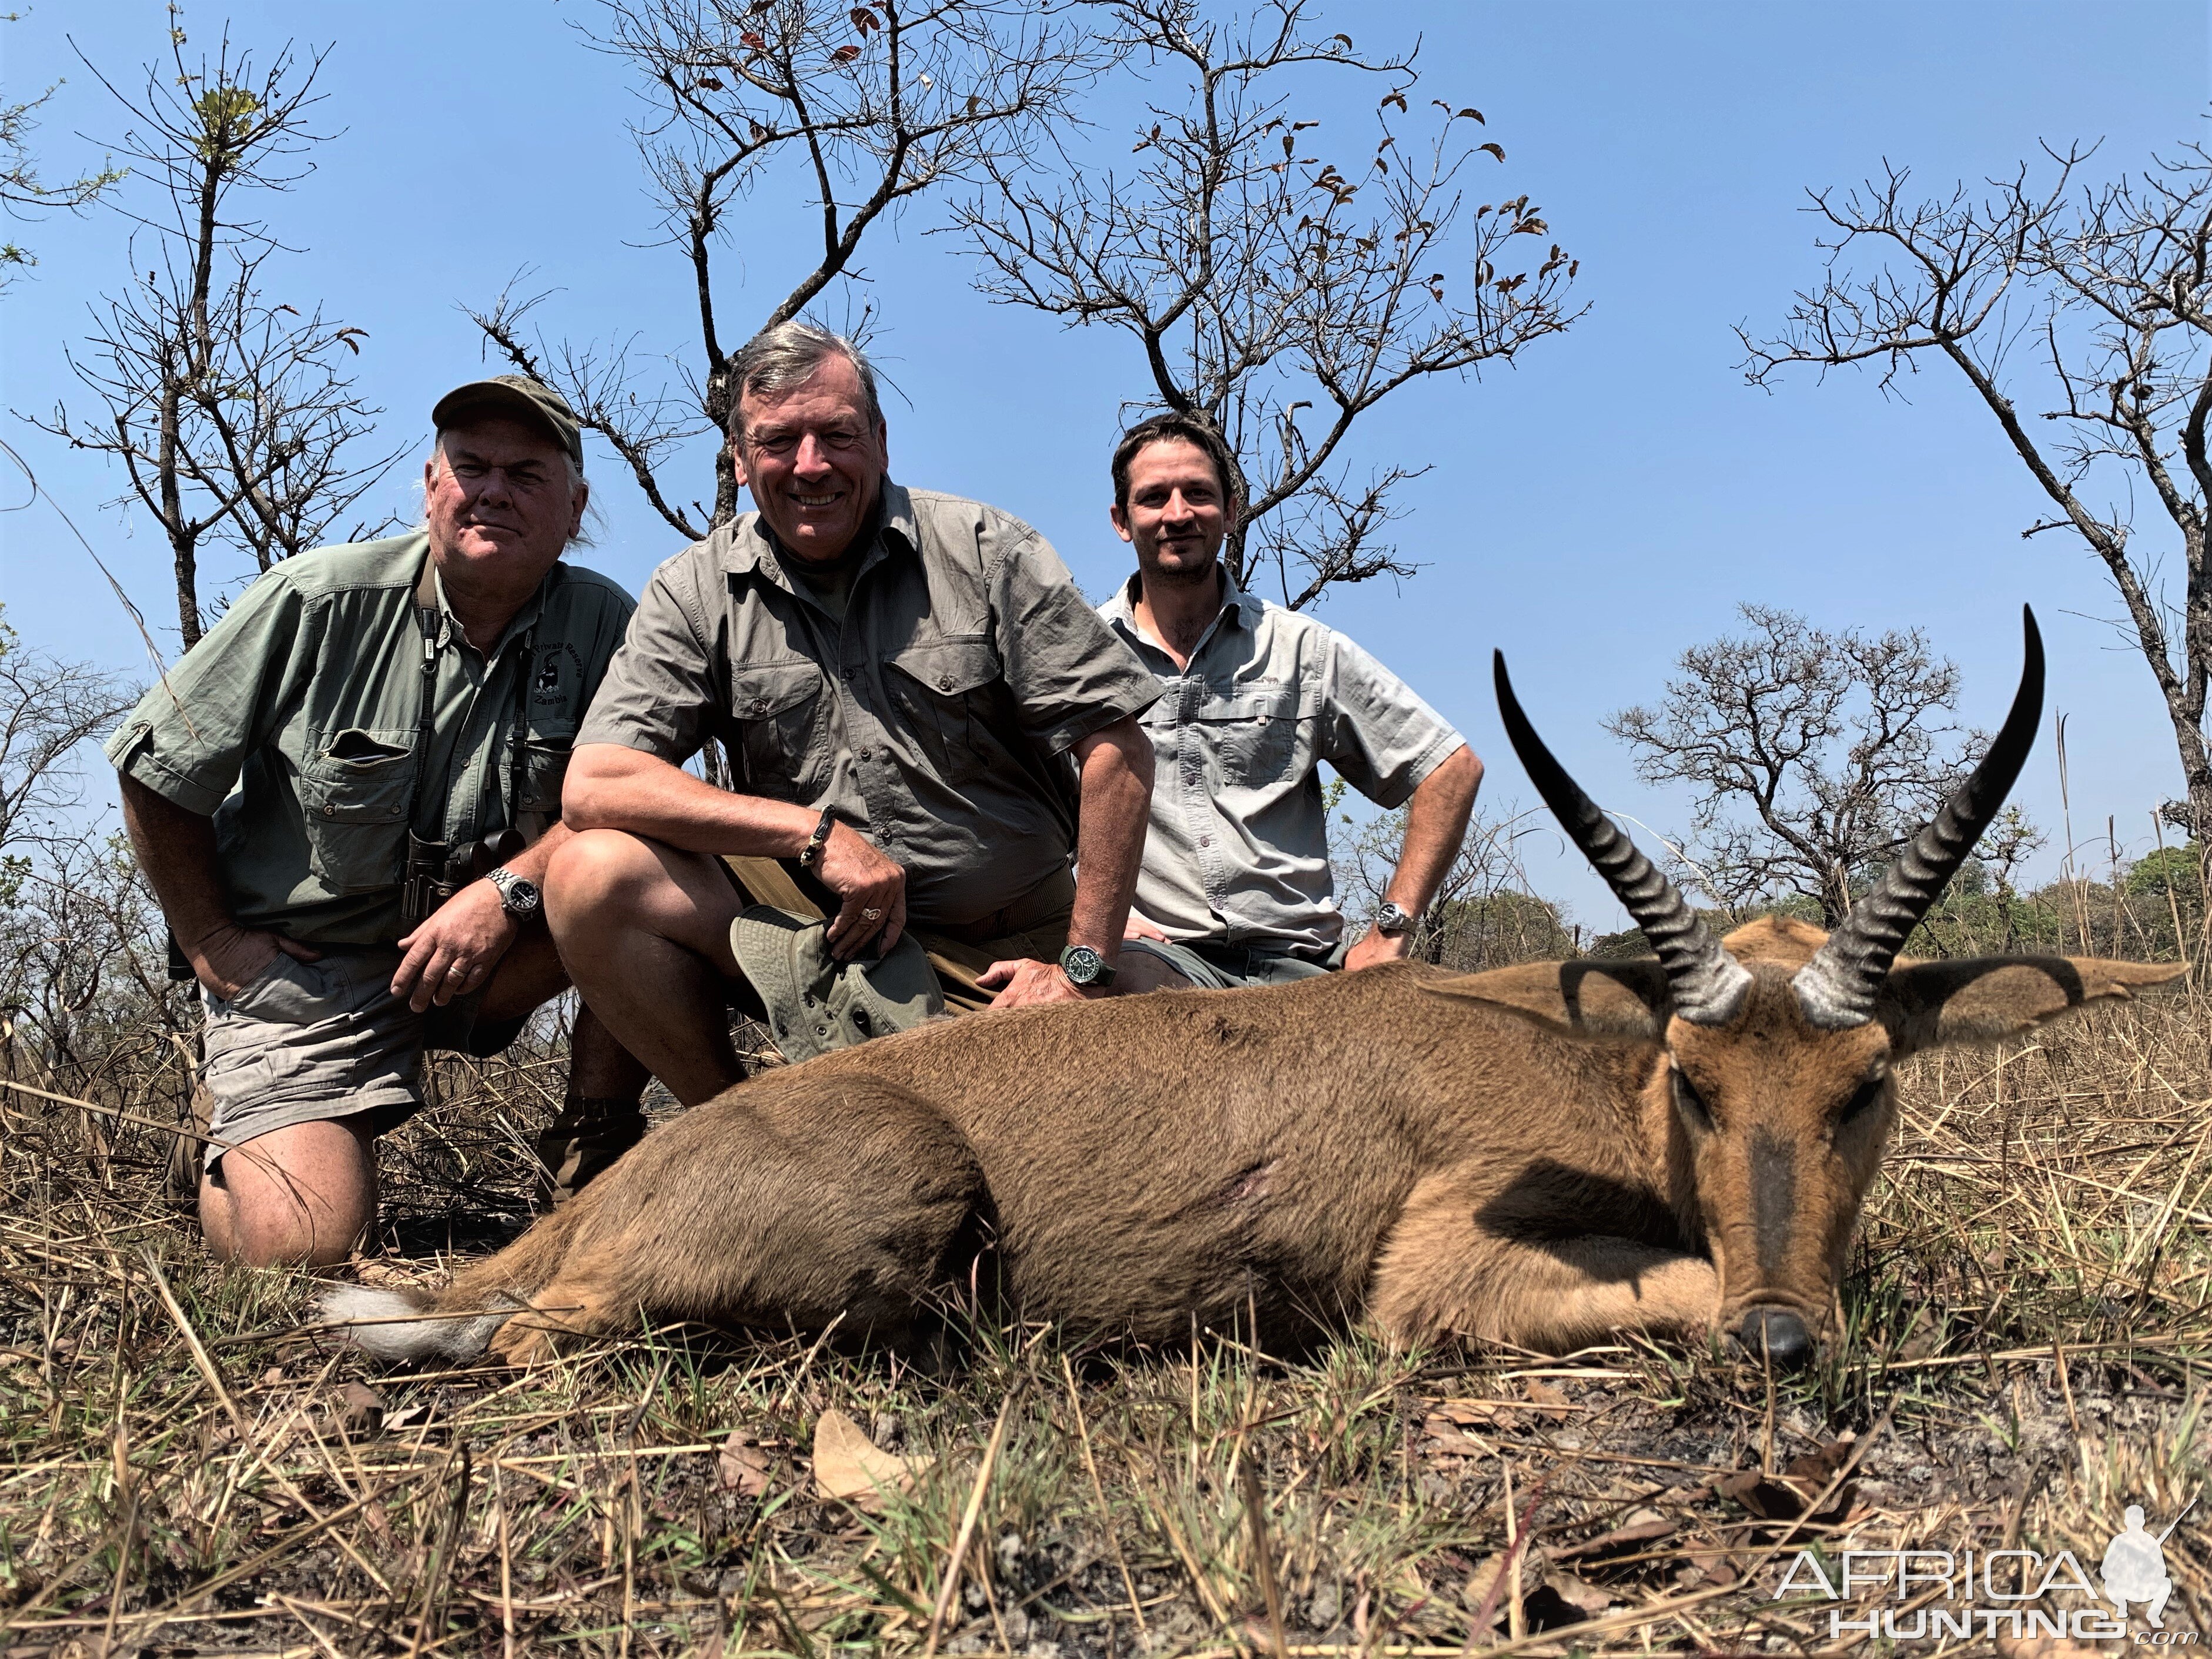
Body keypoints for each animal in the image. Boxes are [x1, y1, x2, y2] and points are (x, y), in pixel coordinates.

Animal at [327, 606, 2176, 1371]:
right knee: (523, 1333)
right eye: (1694, 1083)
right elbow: (1663, 1286)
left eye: (1863, 1084)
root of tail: (619, 1188)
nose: (1787, 1336)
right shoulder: (1441, 1276)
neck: (1584, 1074)